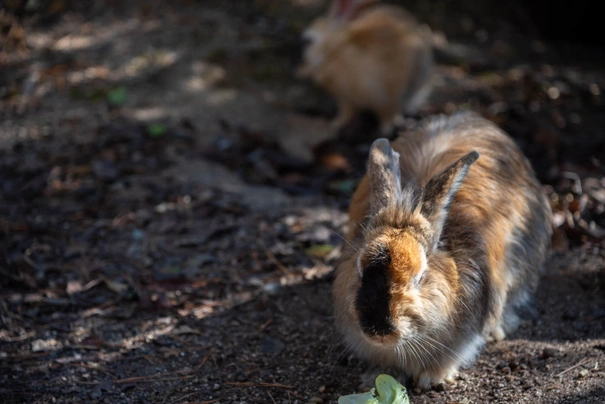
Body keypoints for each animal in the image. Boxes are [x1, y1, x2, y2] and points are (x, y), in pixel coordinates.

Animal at [294, 0, 432, 136]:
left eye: (307, 42)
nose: (299, 70)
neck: (337, 49)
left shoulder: (387, 94)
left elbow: (387, 113)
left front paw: (385, 129)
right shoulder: (346, 99)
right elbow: (346, 113)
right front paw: (336, 124)